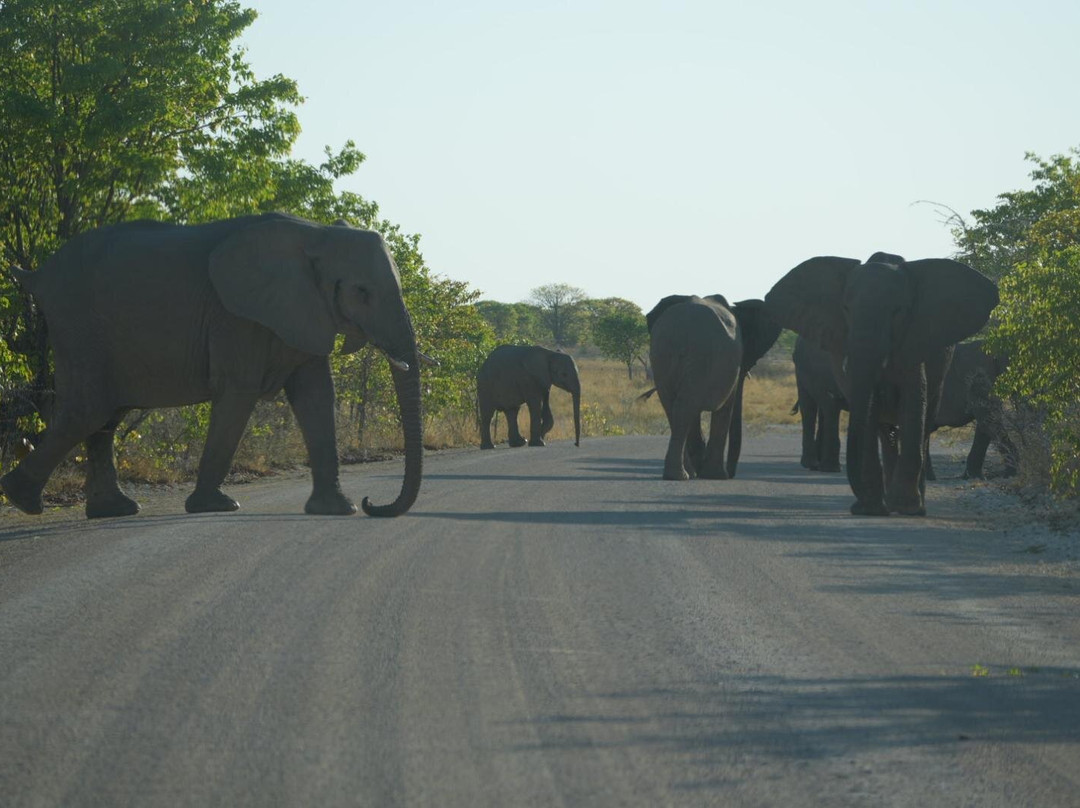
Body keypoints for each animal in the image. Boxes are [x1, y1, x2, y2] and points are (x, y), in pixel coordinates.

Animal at [0, 213, 423, 519]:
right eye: (361, 292)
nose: (372, 504)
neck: (316, 233)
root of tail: (38, 274)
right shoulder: (237, 317)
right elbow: (240, 392)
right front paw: (216, 506)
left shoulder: (304, 311)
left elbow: (317, 396)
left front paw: (338, 509)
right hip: (78, 325)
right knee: (88, 410)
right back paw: (24, 501)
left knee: (106, 416)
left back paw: (113, 511)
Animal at [646, 294, 781, 481]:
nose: (731, 474)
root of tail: (679, 330)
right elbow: (726, 408)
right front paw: (716, 475)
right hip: (701, 356)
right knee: (683, 408)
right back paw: (682, 475)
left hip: (661, 355)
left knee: (673, 408)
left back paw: (682, 474)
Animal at [792, 334, 847, 472]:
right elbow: (831, 406)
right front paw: (831, 469)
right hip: (802, 372)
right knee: (810, 409)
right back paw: (813, 465)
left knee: (823, 411)